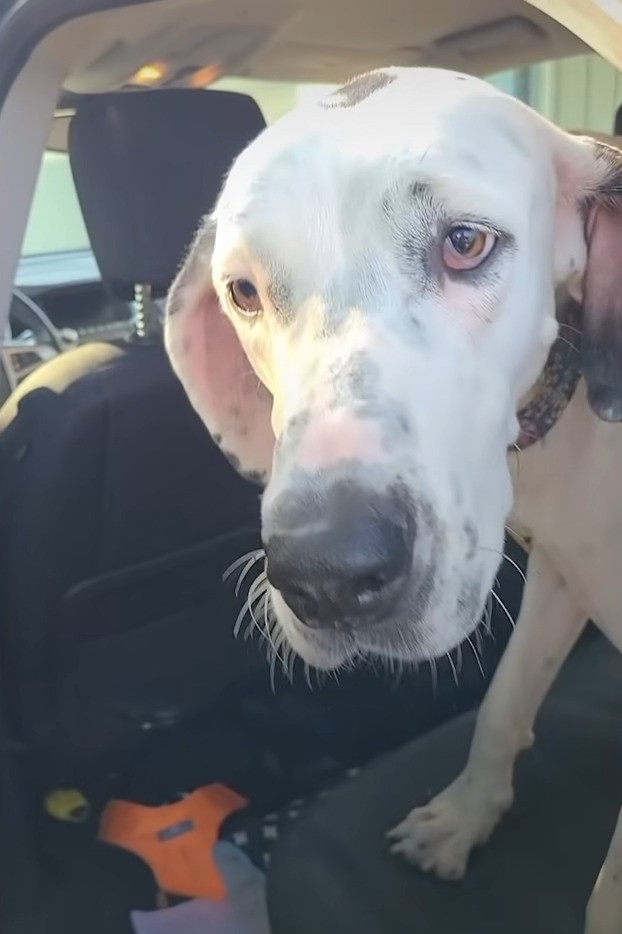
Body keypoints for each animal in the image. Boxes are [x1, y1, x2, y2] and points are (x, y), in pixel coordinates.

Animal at [165, 69, 622, 934]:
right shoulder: (562, 573)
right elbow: (502, 701)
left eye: (467, 242)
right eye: (244, 292)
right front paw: (466, 814)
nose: (327, 575)